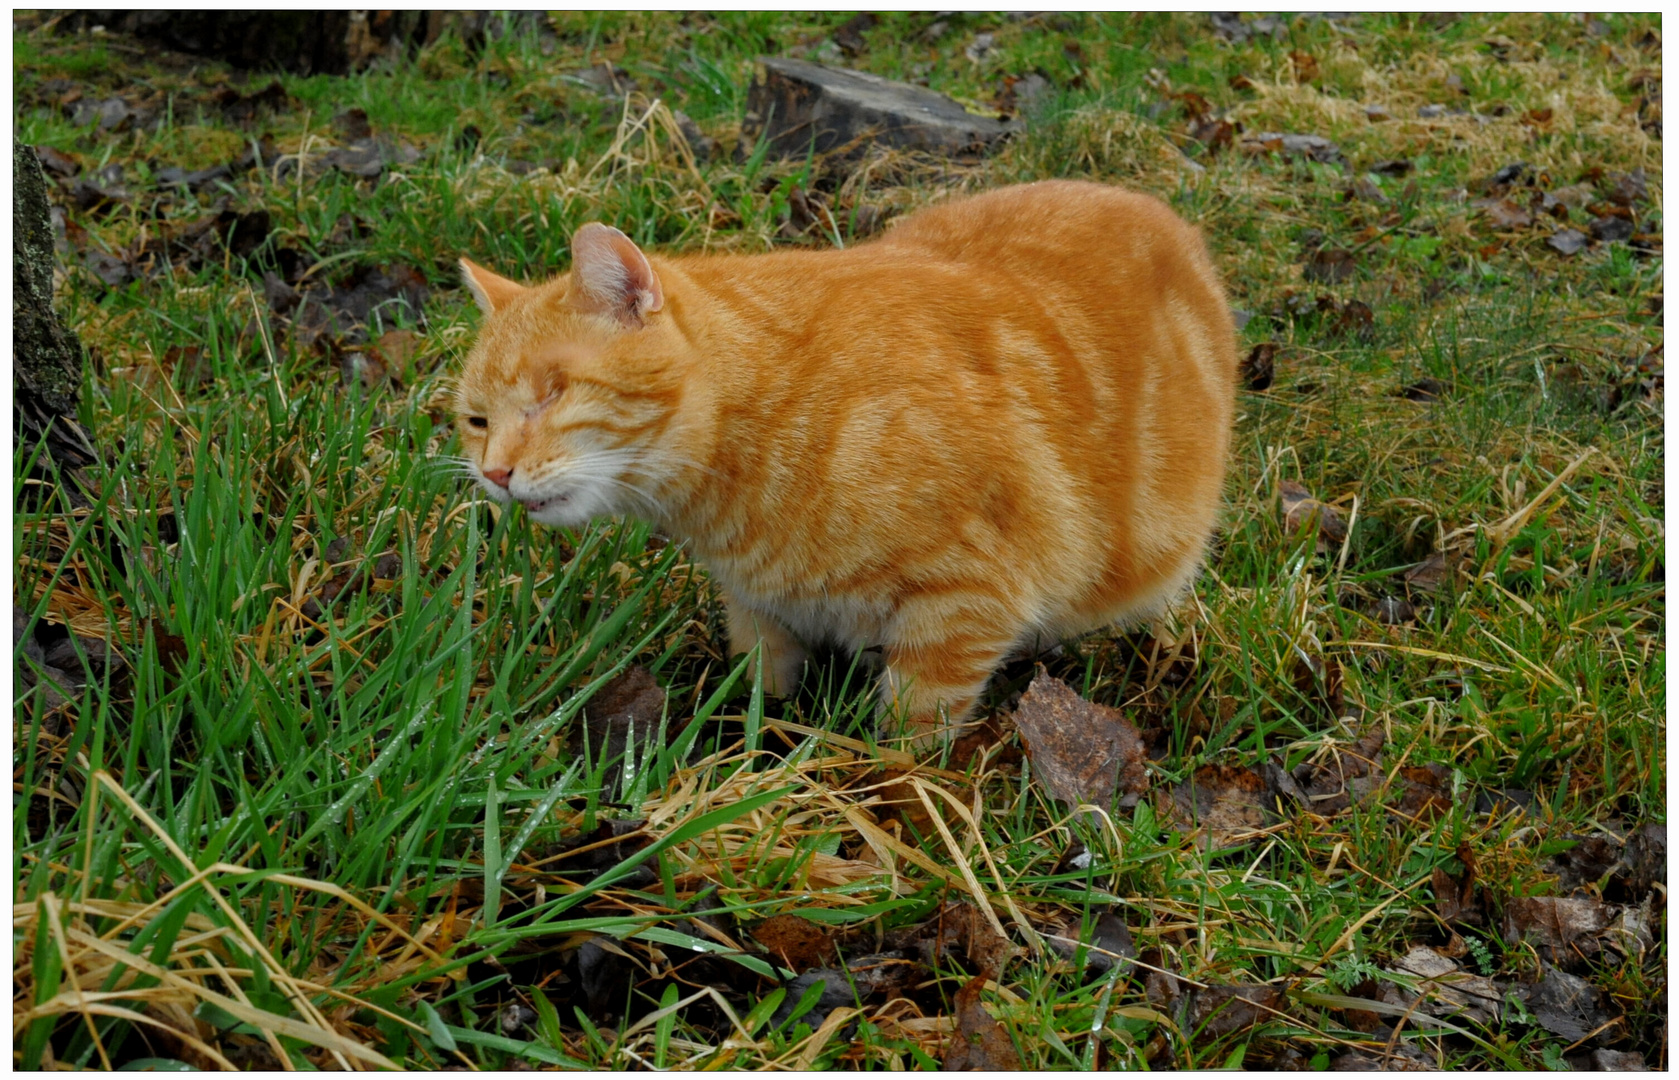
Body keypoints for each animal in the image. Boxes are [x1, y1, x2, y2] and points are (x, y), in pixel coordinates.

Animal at [453, 181, 1242, 749]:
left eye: (552, 392)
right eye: (475, 420)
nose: (495, 473)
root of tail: (1162, 214)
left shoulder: (965, 604)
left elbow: (908, 740)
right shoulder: (757, 609)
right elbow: (760, 694)